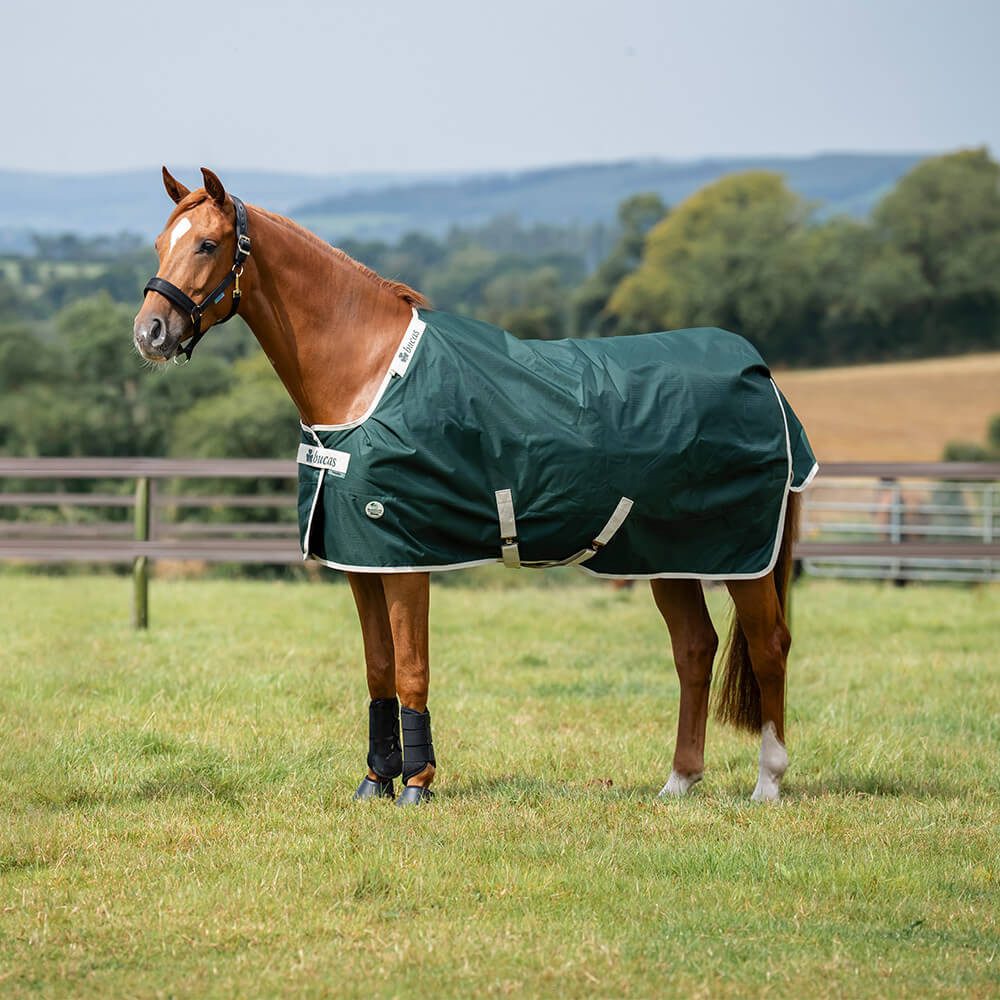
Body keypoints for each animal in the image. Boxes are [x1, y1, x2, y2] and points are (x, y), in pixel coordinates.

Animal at [133, 167, 817, 806]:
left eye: (208, 244)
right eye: (161, 243)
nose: (150, 333)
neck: (367, 375)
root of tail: (764, 377)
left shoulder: (405, 555)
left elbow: (411, 669)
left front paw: (417, 784)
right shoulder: (361, 558)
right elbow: (378, 668)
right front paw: (375, 781)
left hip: (740, 557)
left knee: (769, 645)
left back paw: (767, 783)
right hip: (665, 555)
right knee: (695, 649)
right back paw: (678, 782)